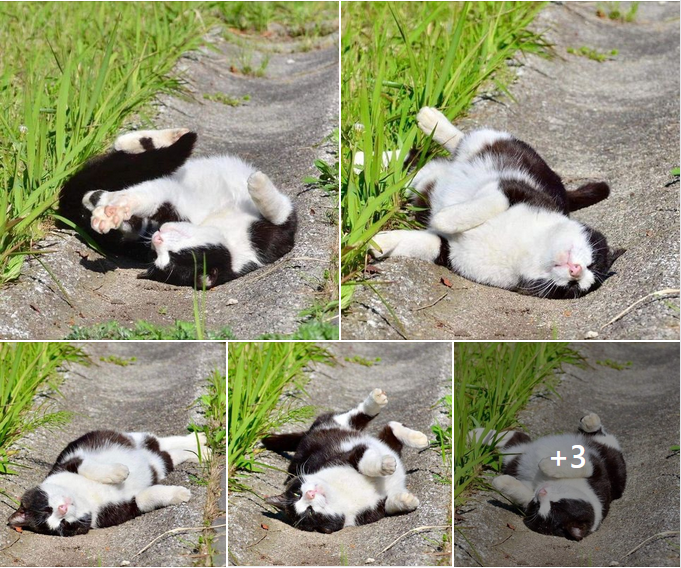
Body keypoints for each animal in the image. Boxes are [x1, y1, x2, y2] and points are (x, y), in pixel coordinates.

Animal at [6, 430, 207, 536]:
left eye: (47, 509)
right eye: (62, 524)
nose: (62, 509)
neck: (84, 496)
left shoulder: (70, 462)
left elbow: (88, 468)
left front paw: (119, 472)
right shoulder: (124, 508)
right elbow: (147, 497)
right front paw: (179, 494)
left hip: (134, 438)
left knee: (161, 441)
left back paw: (199, 439)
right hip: (161, 464)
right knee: (170, 455)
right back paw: (202, 452)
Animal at [57, 129, 292, 288]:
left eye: (170, 257)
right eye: (158, 253)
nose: (157, 238)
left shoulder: (277, 236)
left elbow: (279, 213)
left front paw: (256, 183)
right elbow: (144, 196)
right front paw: (112, 209)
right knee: (123, 150)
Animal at [260, 388, 424, 532]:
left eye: (296, 494)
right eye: (309, 511)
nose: (310, 494)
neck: (339, 493)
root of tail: (305, 436)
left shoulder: (348, 455)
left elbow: (364, 462)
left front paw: (385, 465)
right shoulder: (371, 512)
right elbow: (388, 505)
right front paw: (407, 500)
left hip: (331, 426)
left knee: (354, 416)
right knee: (389, 431)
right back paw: (416, 439)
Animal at [366, 108, 620, 300]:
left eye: (574, 288)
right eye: (592, 261)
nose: (576, 272)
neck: (530, 248)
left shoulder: (450, 252)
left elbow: (422, 243)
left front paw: (380, 243)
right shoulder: (513, 189)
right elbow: (480, 207)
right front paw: (442, 217)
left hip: (418, 181)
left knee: (409, 164)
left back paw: (366, 158)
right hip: (502, 146)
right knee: (466, 141)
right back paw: (430, 120)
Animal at [470, 412, 624, 540]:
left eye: (543, 506)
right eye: (558, 505)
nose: (541, 492)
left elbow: (523, 494)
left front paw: (501, 481)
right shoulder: (598, 472)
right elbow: (584, 467)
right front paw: (546, 464)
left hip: (514, 457)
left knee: (515, 439)